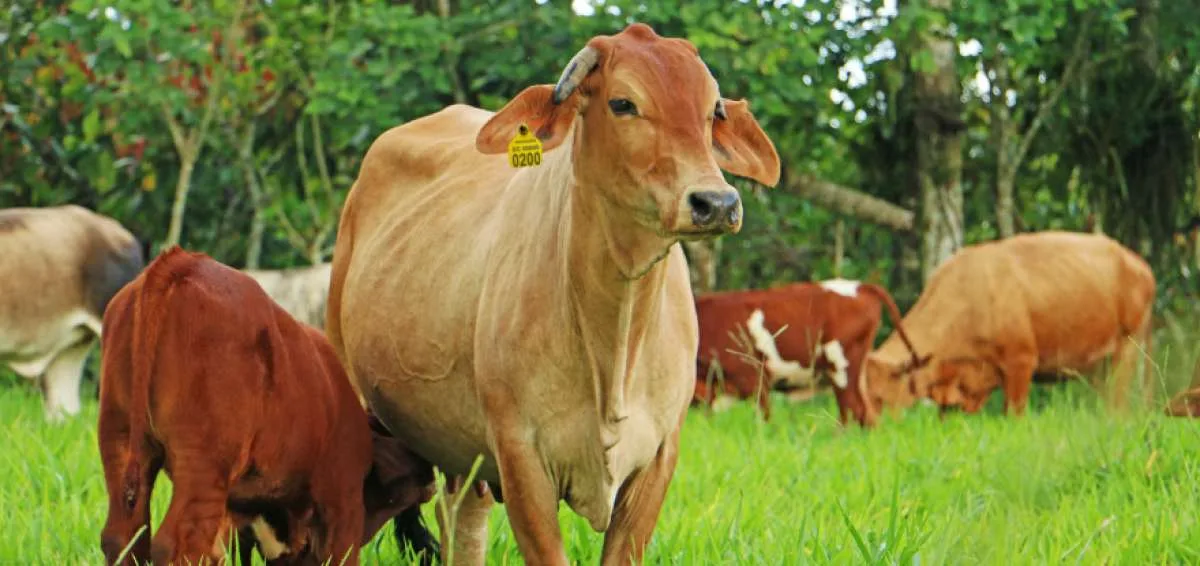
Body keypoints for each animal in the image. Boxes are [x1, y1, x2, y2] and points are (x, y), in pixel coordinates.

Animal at [97, 247, 436, 566]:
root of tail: (180, 262)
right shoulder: (343, 501)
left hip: (119, 440)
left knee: (122, 536)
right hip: (203, 463)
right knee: (178, 545)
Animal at [324, 23, 780, 566]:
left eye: (712, 110)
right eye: (623, 103)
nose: (717, 202)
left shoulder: (658, 458)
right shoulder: (520, 457)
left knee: (462, 521)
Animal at [864, 231, 1156, 419]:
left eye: (878, 397)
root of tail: (1137, 263)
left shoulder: (1021, 362)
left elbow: (1013, 415)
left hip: (1127, 348)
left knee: (1118, 404)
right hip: (1100, 366)